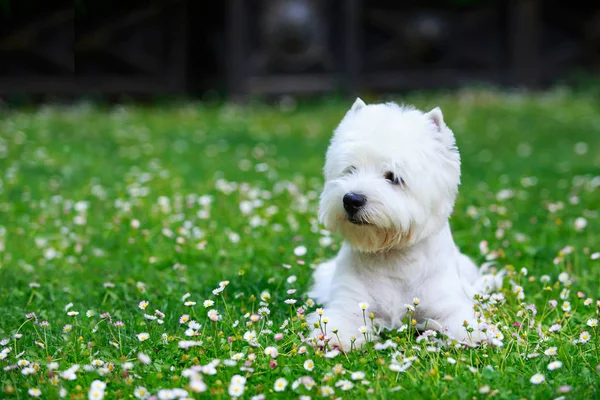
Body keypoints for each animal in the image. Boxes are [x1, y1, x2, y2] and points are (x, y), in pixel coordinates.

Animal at [308, 97, 500, 350]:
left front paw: (476, 336)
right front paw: (330, 339)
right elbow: (340, 321)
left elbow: (462, 320)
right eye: (350, 170)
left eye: (393, 177)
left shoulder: (447, 302)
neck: (392, 257)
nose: (351, 200)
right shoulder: (351, 304)